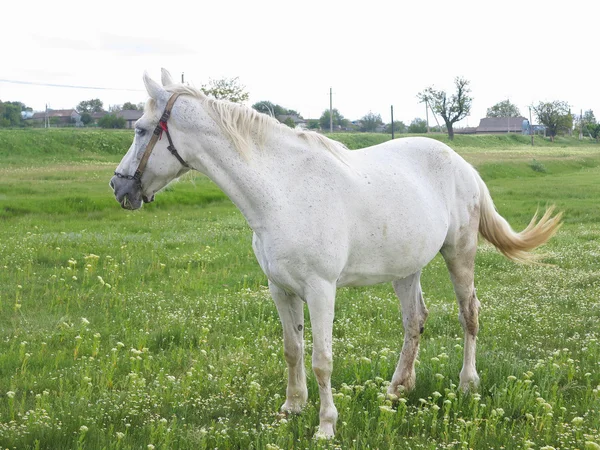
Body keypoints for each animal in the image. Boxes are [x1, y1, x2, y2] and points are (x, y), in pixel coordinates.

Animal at [109, 70, 564, 440]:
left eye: (141, 129)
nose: (119, 186)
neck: (281, 191)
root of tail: (462, 164)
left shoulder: (321, 289)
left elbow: (322, 360)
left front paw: (326, 425)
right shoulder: (280, 289)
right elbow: (292, 349)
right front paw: (291, 408)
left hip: (459, 253)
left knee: (469, 313)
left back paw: (468, 383)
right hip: (406, 268)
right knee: (415, 321)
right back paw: (397, 390)